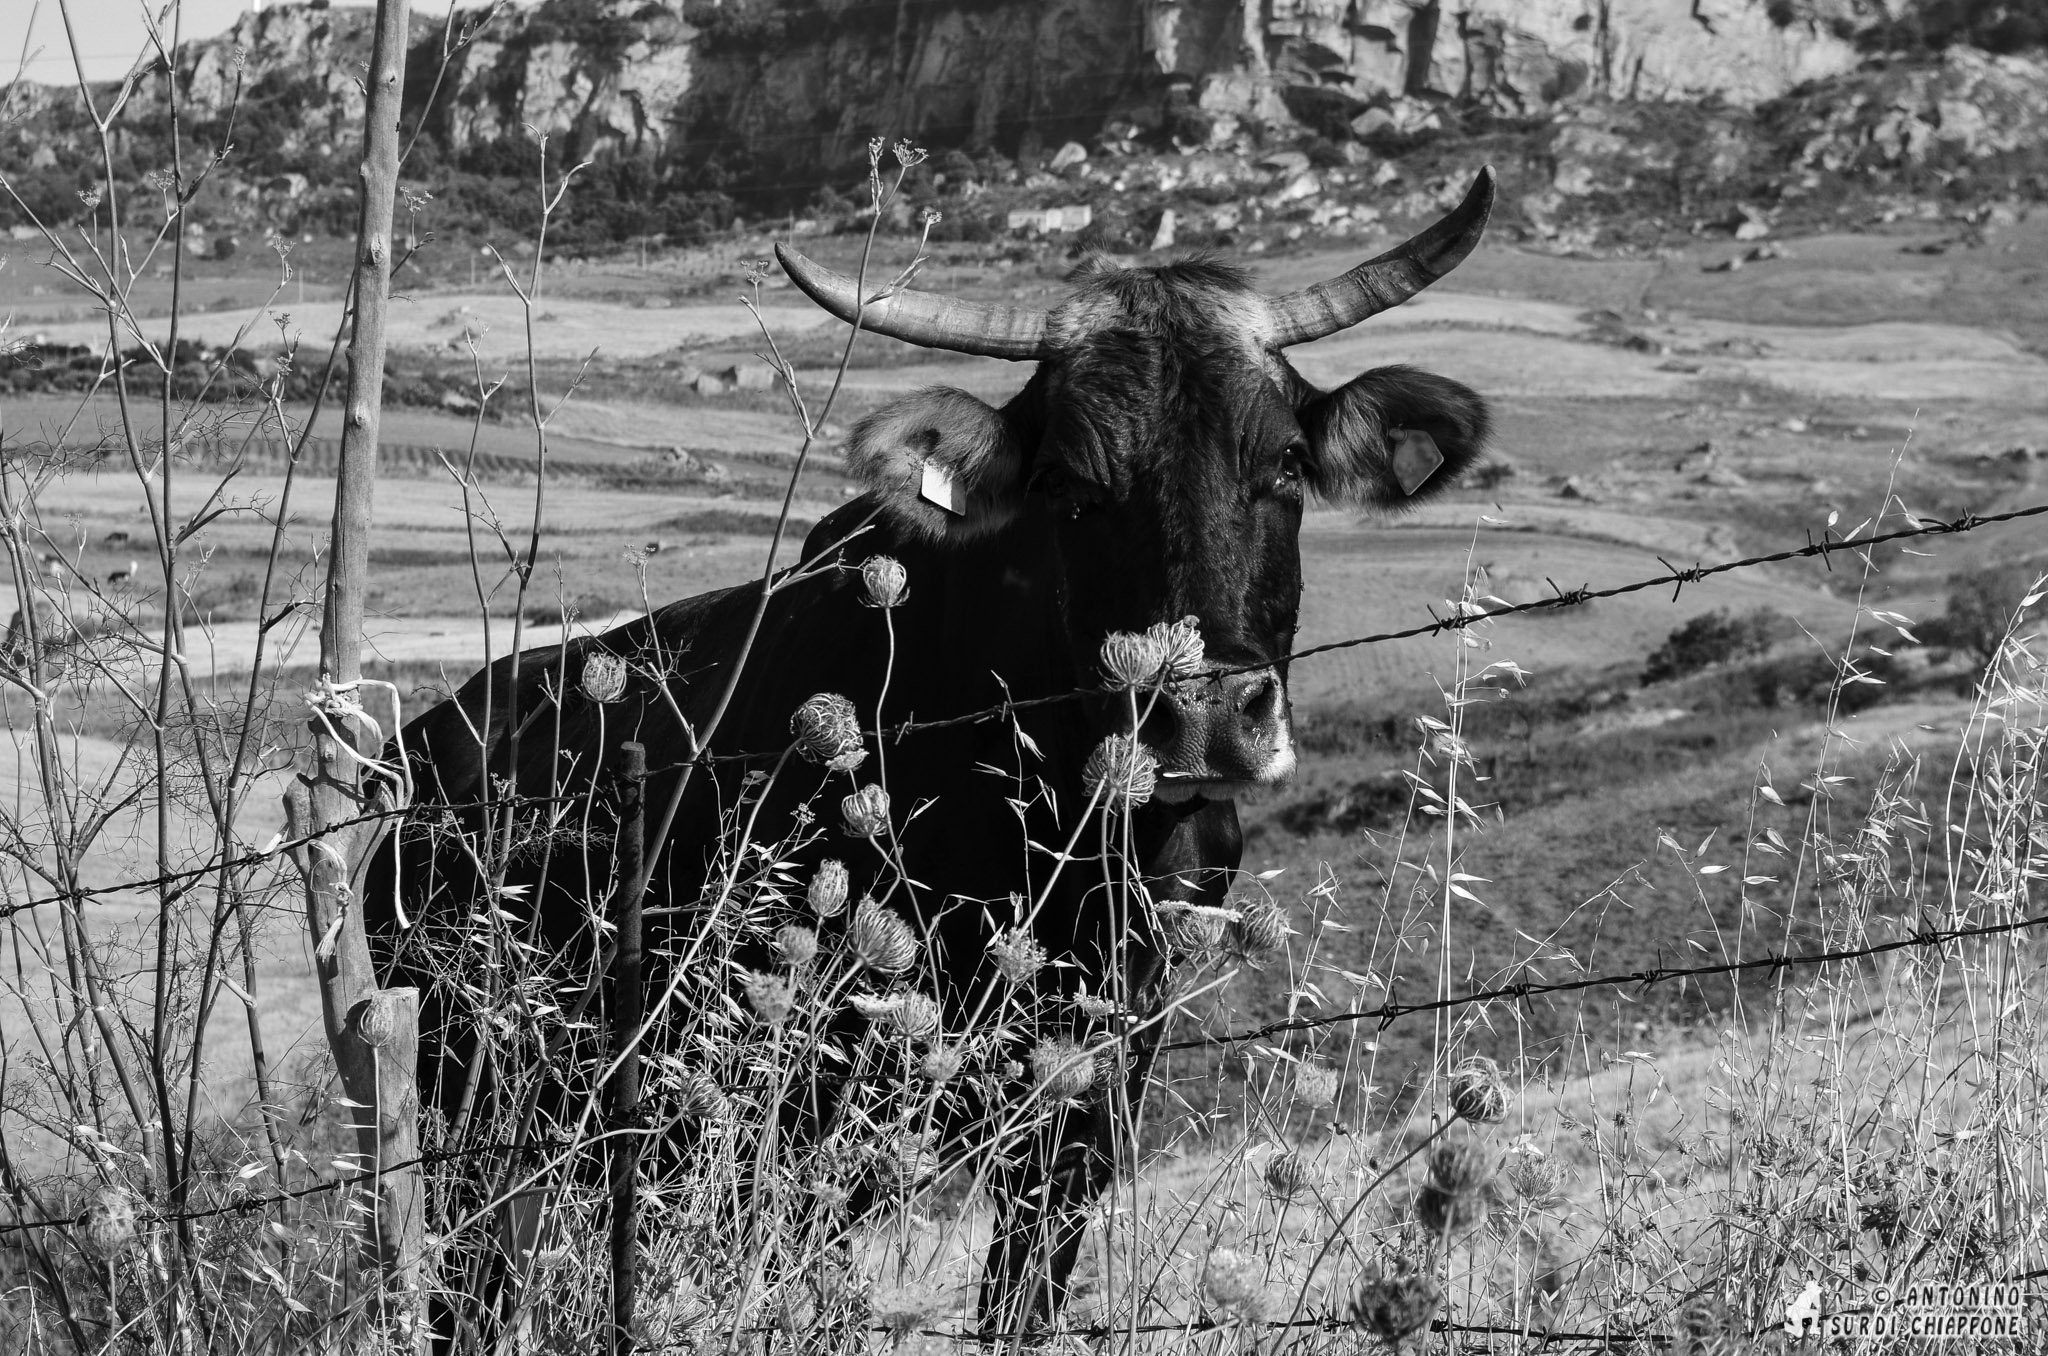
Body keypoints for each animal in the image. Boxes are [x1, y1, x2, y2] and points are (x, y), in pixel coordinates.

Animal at [366, 168, 1497, 1342]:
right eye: (1069, 486)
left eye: (1285, 463)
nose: (1202, 715)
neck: (1067, 837)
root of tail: (427, 745)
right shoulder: (807, 1115)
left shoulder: (1086, 1104)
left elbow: (1022, 1300)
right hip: (475, 1114)